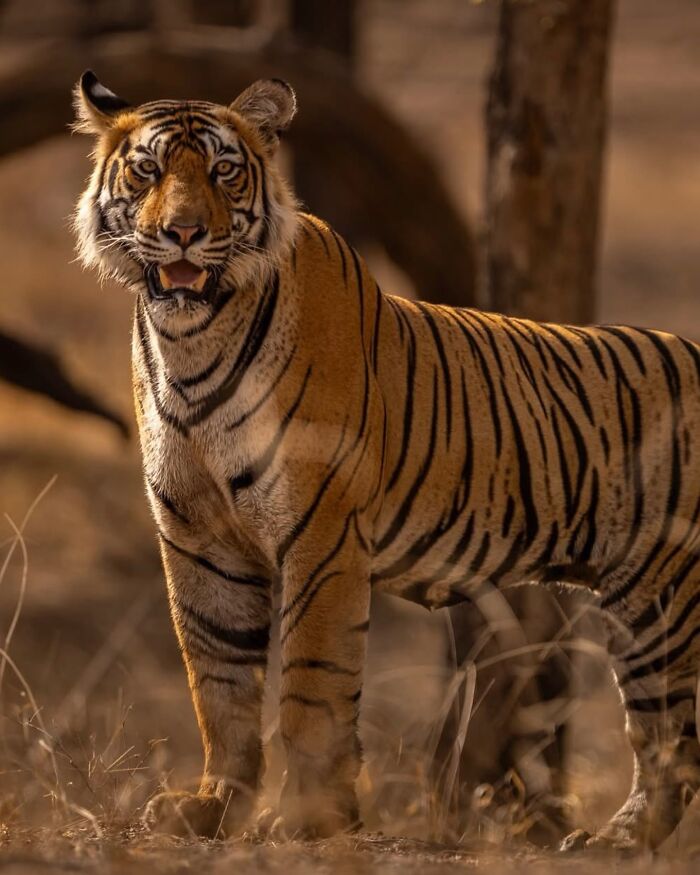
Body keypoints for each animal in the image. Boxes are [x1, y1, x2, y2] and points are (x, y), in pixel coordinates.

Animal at [73, 70, 700, 852]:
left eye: (223, 171)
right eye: (149, 170)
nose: (183, 232)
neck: (191, 338)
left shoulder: (322, 531)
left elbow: (310, 681)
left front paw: (307, 818)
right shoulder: (199, 538)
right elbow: (218, 683)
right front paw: (212, 806)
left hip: (661, 596)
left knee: (669, 733)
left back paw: (616, 838)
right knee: (666, 733)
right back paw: (619, 838)